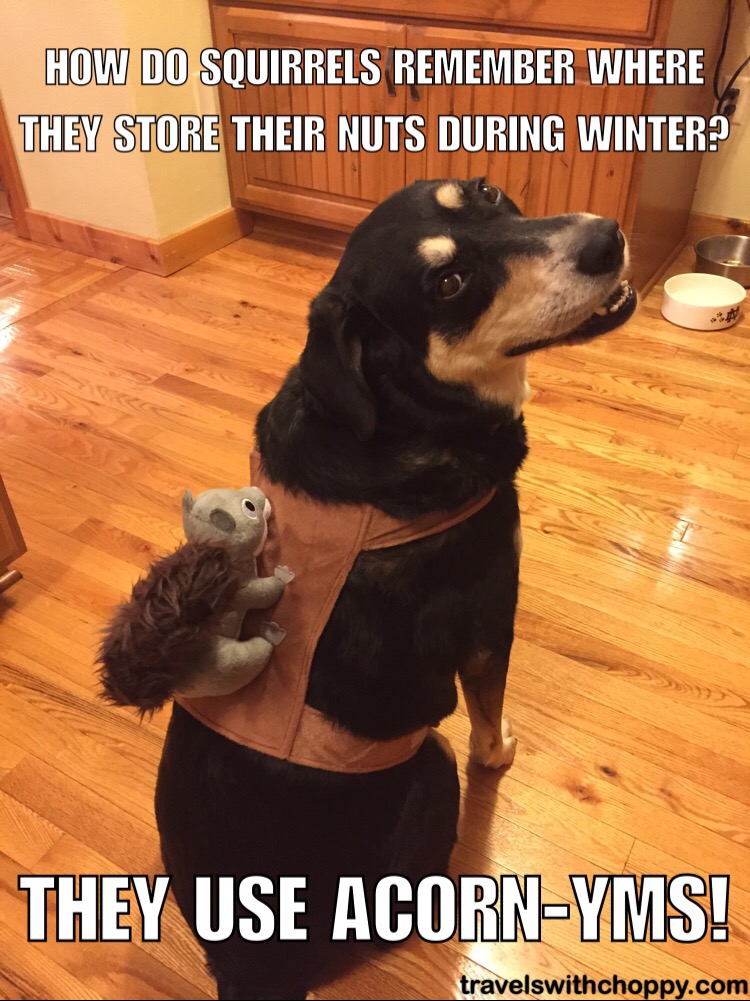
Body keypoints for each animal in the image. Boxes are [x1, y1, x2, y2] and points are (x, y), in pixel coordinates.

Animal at [153, 177, 636, 999]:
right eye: (448, 284)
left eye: (486, 192)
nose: (607, 238)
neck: (409, 416)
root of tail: (247, 961)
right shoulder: (489, 619)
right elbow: (487, 711)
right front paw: (500, 751)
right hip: (430, 770)